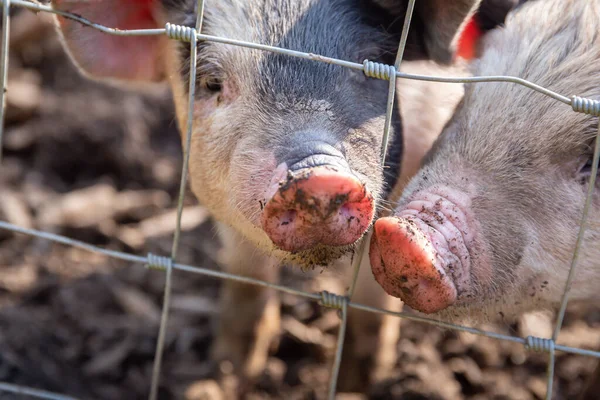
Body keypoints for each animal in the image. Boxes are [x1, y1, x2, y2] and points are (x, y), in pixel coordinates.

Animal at [49, 0, 486, 390]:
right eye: (212, 82)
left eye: (373, 66)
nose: (318, 176)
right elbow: (247, 283)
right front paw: (222, 377)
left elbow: (374, 301)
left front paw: (357, 386)